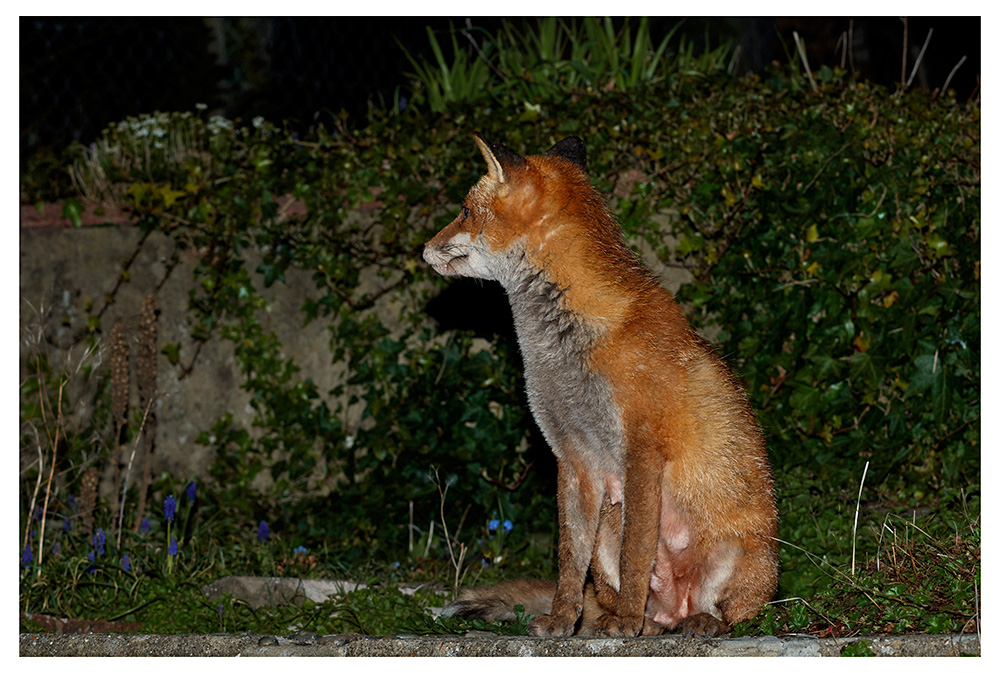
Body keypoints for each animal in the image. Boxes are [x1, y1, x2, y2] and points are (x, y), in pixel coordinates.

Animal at [422, 134, 778, 638]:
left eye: (465, 210)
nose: (423, 248)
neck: (562, 350)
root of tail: (678, 608)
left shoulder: (642, 451)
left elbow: (636, 554)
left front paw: (625, 622)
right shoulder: (574, 459)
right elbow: (569, 559)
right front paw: (562, 621)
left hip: (736, 556)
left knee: (732, 615)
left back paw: (690, 622)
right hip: (609, 530)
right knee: (635, 600)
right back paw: (638, 622)